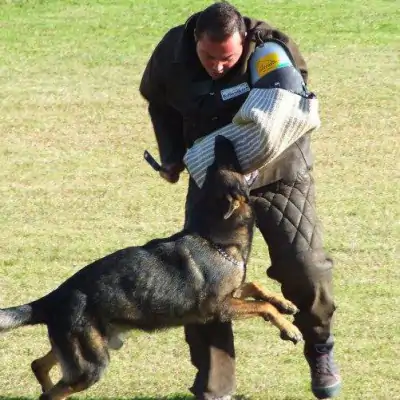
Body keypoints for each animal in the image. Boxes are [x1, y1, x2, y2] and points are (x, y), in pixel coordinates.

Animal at [0, 136, 300, 398]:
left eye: (215, 166)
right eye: (227, 165)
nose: (218, 138)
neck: (215, 240)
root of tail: (51, 299)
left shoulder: (232, 295)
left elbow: (256, 286)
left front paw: (285, 303)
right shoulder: (219, 308)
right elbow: (263, 306)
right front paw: (289, 328)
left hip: (86, 350)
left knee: (38, 365)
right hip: (91, 365)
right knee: (50, 392)